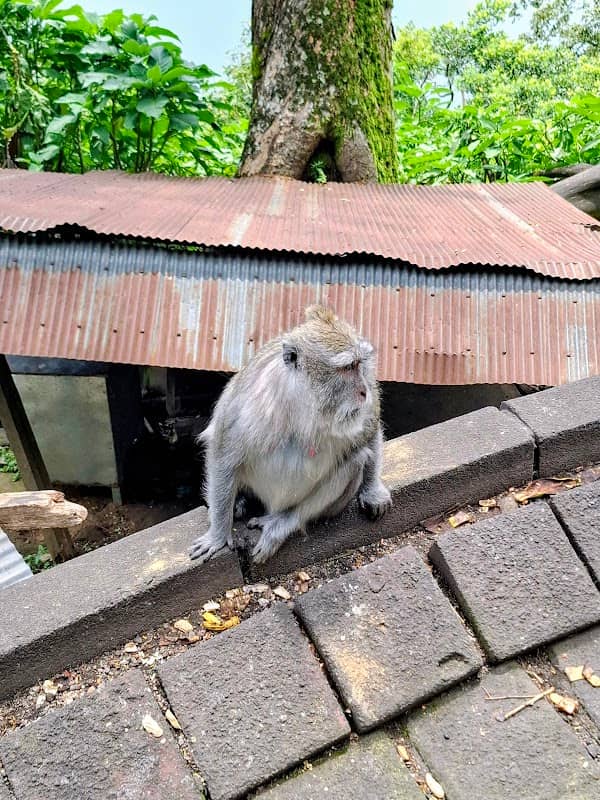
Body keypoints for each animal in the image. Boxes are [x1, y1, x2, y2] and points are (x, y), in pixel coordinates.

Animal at [188, 305, 392, 564]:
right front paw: (218, 535)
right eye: (348, 367)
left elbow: (369, 431)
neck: (303, 403)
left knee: (356, 459)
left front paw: (373, 491)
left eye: (359, 365)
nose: (364, 391)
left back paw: (280, 521)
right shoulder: (244, 407)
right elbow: (222, 454)